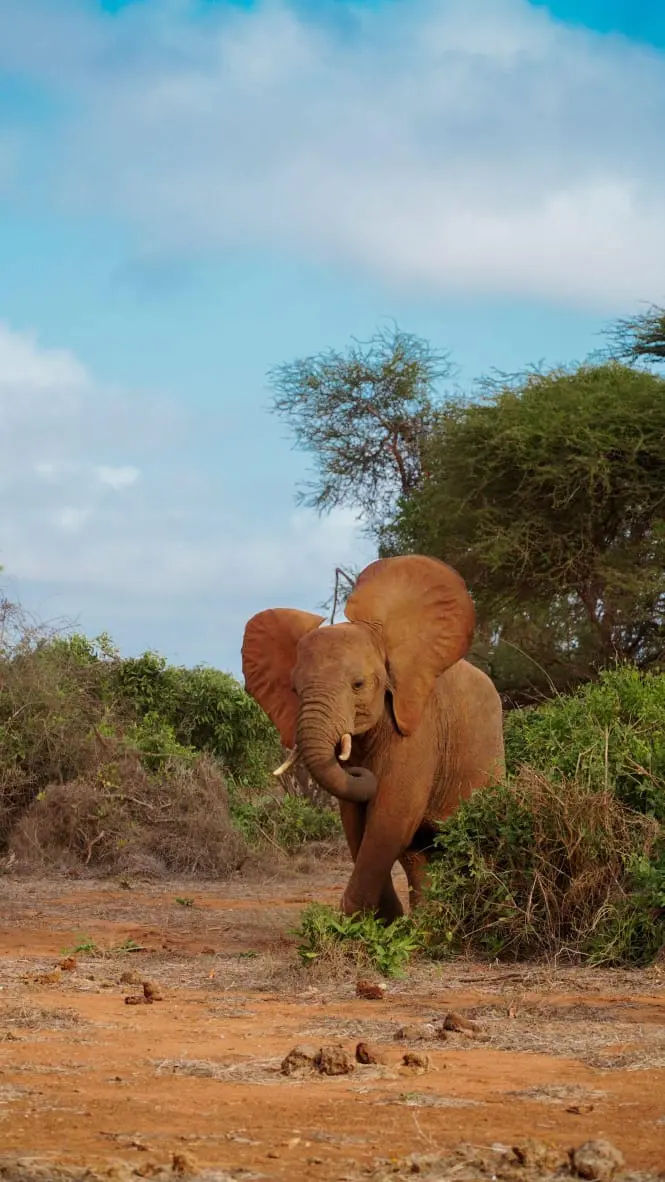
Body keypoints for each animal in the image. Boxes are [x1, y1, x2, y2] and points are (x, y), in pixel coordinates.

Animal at [241, 554, 504, 922]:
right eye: (294, 690)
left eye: (358, 685)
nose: (354, 767)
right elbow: (356, 820)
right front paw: (380, 921)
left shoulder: (419, 728)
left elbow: (390, 815)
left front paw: (351, 923)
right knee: (419, 854)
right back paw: (425, 923)